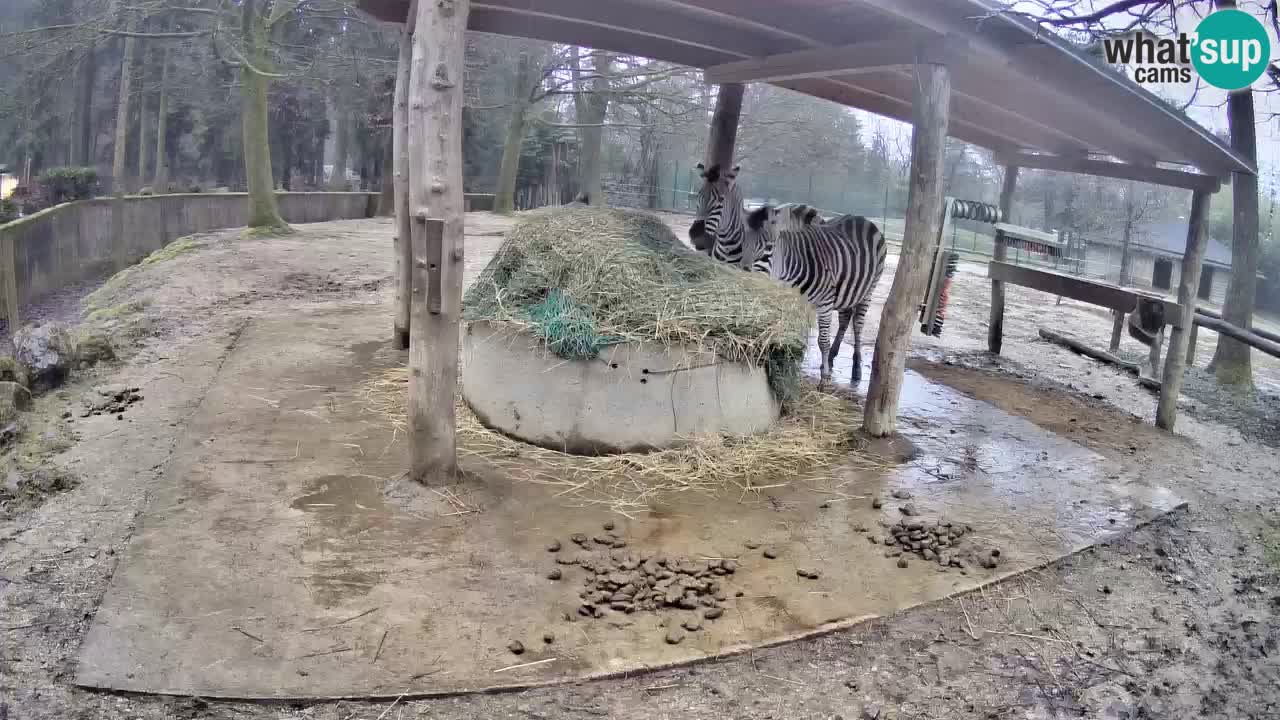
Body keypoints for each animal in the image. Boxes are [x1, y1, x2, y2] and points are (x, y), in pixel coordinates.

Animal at [747, 206, 887, 385]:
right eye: (744, 244)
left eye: (768, 250)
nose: (743, 274)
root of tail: (862, 219)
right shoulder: (798, 303)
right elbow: (797, 337)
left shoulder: (825, 303)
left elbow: (823, 341)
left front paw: (824, 378)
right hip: (846, 290)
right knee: (845, 318)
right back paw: (832, 357)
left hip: (868, 290)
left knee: (857, 325)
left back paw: (856, 368)